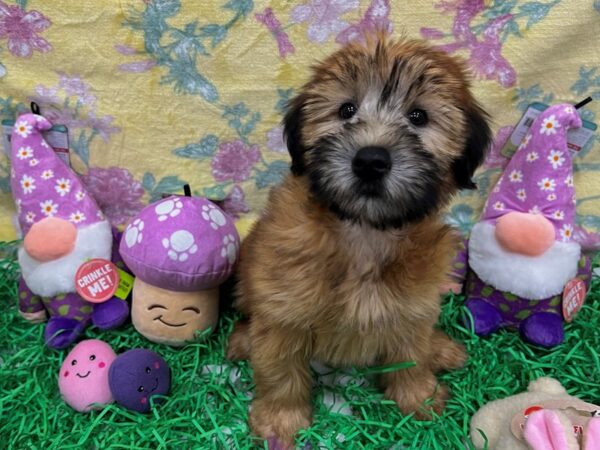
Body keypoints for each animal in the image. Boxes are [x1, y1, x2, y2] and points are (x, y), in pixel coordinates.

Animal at [227, 34, 490, 446]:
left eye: (418, 117)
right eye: (346, 110)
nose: (370, 161)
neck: (364, 232)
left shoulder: (412, 308)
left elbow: (411, 355)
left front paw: (418, 397)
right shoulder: (283, 312)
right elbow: (280, 371)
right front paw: (279, 421)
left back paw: (440, 347)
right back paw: (241, 341)